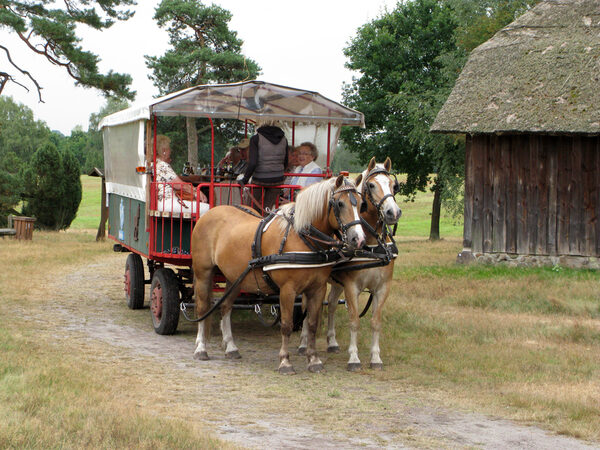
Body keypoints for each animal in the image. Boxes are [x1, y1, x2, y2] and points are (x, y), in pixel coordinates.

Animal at [191, 174, 366, 374]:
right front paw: (285, 362)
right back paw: (201, 348)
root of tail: (210, 213)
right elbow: (287, 325)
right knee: (203, 307)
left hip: (234, 278)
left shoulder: (318, 289)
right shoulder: (288, 290)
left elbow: (312, 325)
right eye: (340, 204)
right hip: (203, 273)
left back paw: (231, 347)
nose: (358, 239)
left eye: (361, 203)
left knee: (225, 307)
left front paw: (314, 360)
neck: (301, 238)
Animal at [298, 156, 400, 370]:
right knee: (305, 306)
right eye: (371, 185)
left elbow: (375, 322)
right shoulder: (352, 286)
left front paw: (375, 358)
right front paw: (354, 357)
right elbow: (354, 320)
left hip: (337, 283)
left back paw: (332, 342)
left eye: (393, 185)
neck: (371, 245)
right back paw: (303, 344)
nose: (392, 212)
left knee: (332, 305)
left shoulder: (382, 287)